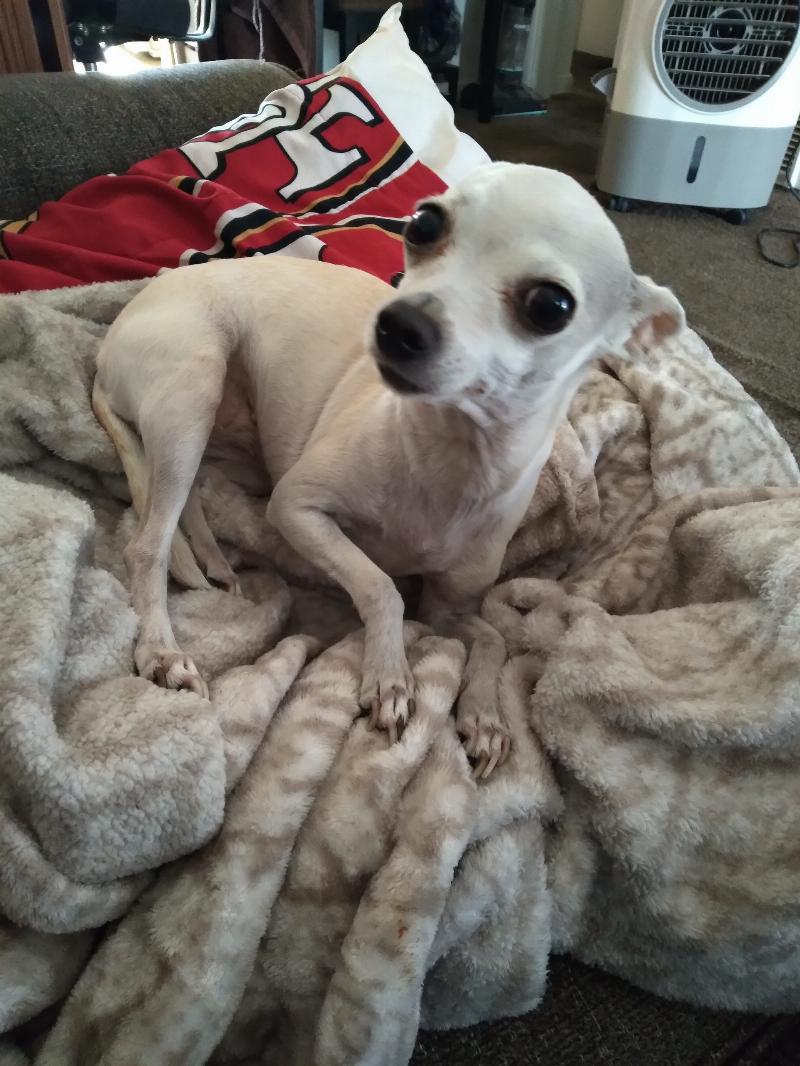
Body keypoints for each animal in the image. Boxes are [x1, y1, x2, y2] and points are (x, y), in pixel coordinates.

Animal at [92, 162, 684, 778]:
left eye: (551, 305)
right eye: (423, 224)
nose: (398, 323)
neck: (448, 459)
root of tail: (108, 345)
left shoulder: (446, 605)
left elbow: (493, 639)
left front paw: (485, 716)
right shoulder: (297, 509)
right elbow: (380, 586)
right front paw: (390, 675)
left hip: (217, 438)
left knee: (190, 495)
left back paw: (211, 558)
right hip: (195, 387)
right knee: (149, 542)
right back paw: (163, 650)